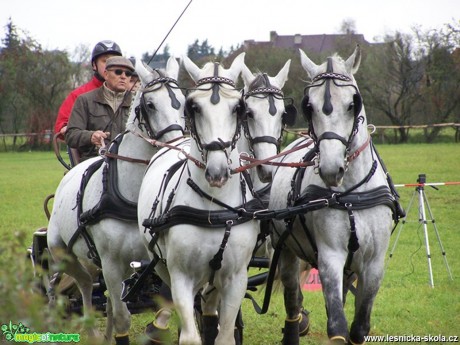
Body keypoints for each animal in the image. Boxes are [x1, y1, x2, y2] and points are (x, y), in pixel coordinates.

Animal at [45, 57, 185, 344]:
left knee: (107, 298)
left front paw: (157, 328)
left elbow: (169, 301)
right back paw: (91, 330)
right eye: (150, 105)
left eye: (184, 101)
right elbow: (123, 318)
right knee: (85, 284)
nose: (179, 146)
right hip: (64, 254)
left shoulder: (157, 258)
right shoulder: (110, 263)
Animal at [137, 51, 264, 344]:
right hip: (161, 266)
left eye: (237, 108)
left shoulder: (236, 278)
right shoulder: (181, 276)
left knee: (208, 307)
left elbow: (224, 336)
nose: (217, 172)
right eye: (194, 107)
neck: (214, 208)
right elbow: (189, 336)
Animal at [270, 46, 402, 344]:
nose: (332, 169)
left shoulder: (374, 263)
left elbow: (359, 328)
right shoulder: (329, 256)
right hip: (286, 250)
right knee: (292, 300)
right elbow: (338, 328)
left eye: (353, 103)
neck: (352, 194)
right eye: (309, 106)